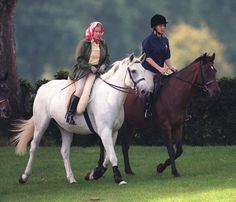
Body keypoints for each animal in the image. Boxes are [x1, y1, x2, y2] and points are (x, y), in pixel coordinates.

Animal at [12, 53, 150, 185]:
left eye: (143, 70)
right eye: (133, 71)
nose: (146, 91)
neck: (109, 96)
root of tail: (43, 87)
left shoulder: (114, 131)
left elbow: (107, 158)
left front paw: (94, 174)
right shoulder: (104, 131)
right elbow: (112, 156)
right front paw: (118, 178)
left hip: (65, 128)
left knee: (64, 151)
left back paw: (71, 178)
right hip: (41, 123)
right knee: (34, 146)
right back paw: (24, 177)